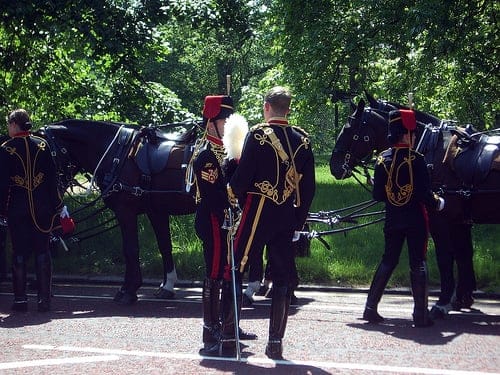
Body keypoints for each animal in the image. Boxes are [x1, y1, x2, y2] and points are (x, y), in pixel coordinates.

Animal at [39, 120, 197, 306]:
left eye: (44, 156)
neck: (117, 155)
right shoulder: (156, 211)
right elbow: (164, 246)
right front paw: (167, 286)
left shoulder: (125, 210)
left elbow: (130, 249)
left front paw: (128, 291)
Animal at [328, 97, 500, 318]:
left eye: (350, 130)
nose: (334, 165)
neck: (433, 149)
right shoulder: (460, 221)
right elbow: (464, 255)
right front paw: (461, 299)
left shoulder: (440, 220)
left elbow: (445, 256)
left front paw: (443, 302)